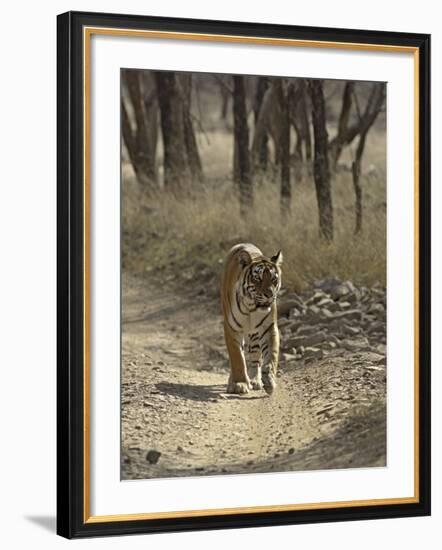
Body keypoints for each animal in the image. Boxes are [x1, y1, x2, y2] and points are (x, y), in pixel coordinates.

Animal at [221, 245, 284, 396]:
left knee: (255, 356)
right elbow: (237, 358)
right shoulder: (231, 329)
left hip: (254, 334)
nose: (270, 294)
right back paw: (234, 382)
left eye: (274, 279)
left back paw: (255, 380)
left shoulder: (269, 328)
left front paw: (269, 381)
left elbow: (271, 356)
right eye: (258, 279)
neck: (251, 307)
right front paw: (240, 384)